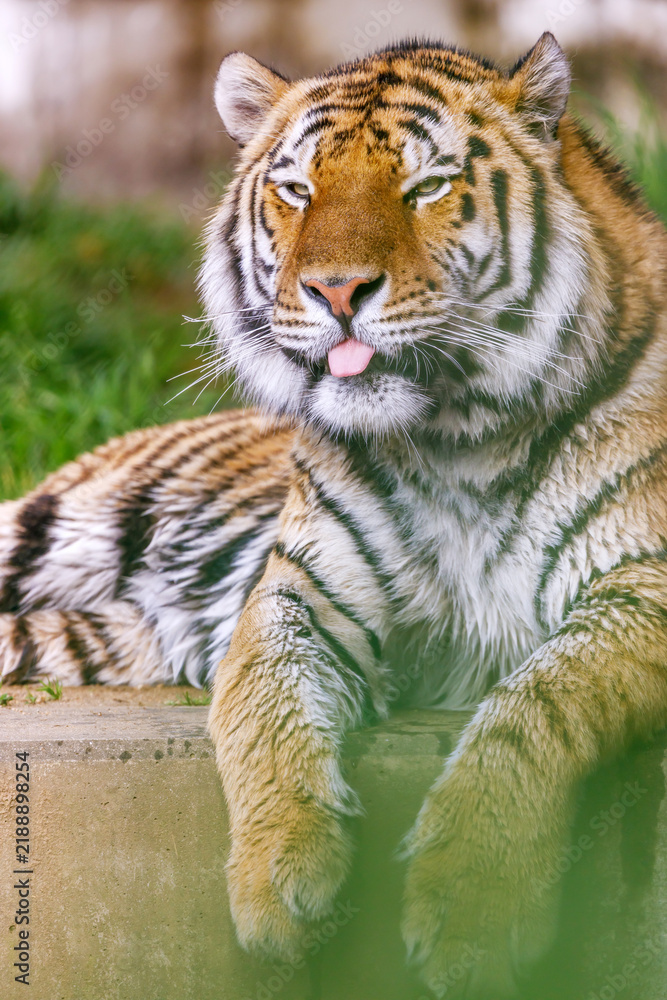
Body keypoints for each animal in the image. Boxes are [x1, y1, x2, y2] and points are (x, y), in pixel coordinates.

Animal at [2, 31, 667, 998]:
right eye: (297, 191)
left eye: (425, 188)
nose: (337, 290)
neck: (456, 440)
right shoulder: (299, 595)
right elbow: (265, 709)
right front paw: (278, 882)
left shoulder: (640, 589)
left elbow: (534, 704)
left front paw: (471, 902)